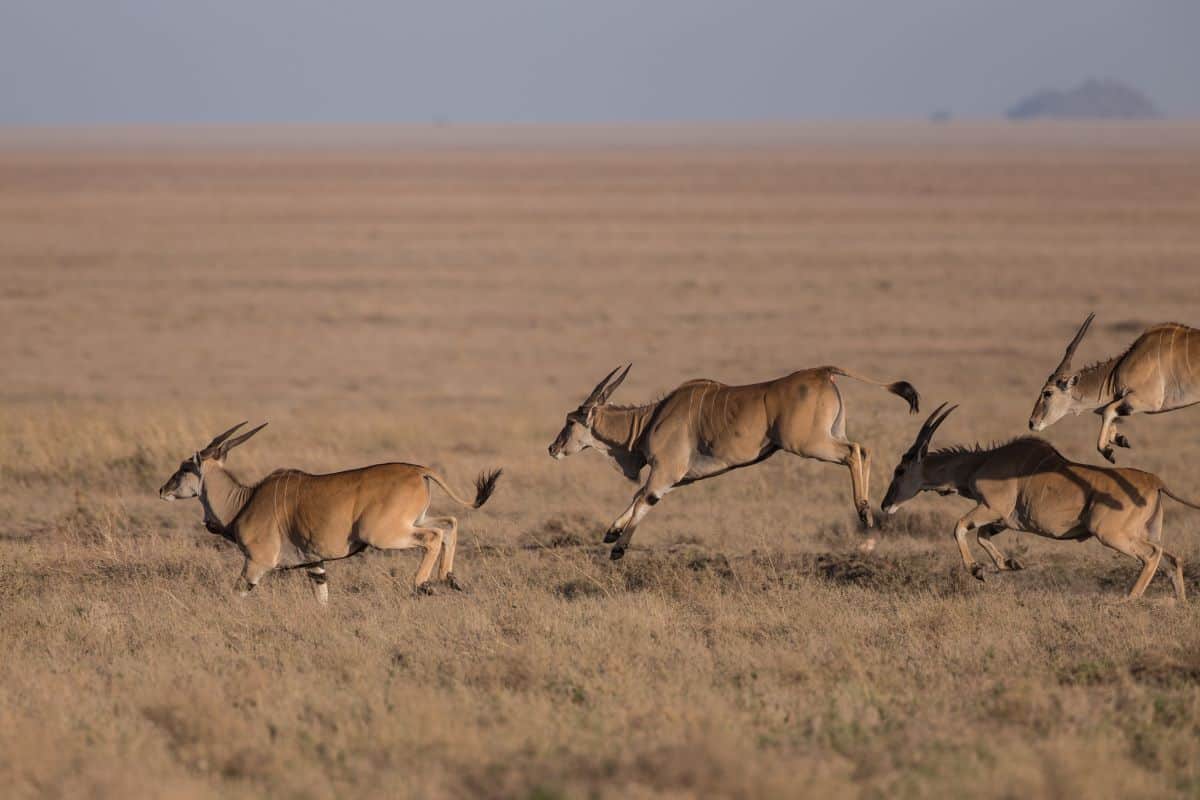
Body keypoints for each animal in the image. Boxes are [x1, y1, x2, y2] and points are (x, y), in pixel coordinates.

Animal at [157, 424, 499, 599]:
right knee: (449, 524)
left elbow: (237, 594)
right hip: (413, 521)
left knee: (434, 535)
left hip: (384, 535)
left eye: (185, 466)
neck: (244, 500)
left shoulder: (256, 563)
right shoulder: (315, 563)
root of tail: (418, 470)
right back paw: (449, 578)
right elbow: (322, 597)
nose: (162, 490)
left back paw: (423, 583)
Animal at [549, 364, 916, 561]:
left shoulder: (666, 471)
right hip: (828, 435)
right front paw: (611, 532)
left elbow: (643, 499)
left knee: (854, 451)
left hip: (809, 444)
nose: (553, 448)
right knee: (863, 449)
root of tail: (823, 372)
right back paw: (868, 511)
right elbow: (638, 497)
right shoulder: (674, 477)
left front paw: (618, 547)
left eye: (569, 421)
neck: (651, 417)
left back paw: (865, 512)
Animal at [883, 407, 1200, 599]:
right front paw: (1009, 563)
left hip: (1110, 534)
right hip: (1144, 532)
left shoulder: (992, 509)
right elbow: (983, 535)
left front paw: (978, 570)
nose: (886, 505)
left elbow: (960, 527)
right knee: (1171, 558)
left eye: (900, 470)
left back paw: (1130, 598)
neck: (981, 462)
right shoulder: (1003, 519)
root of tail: (1154, 481)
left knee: (1152, 555)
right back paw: (1179, 603)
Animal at [1027, 311, 1200, 462]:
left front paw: (1107, 450)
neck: (1119, 368)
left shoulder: (1148, 402)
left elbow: (1107, 410)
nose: (1032, 423)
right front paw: (1119, 438)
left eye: (1048, 393)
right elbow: (1105, 411)